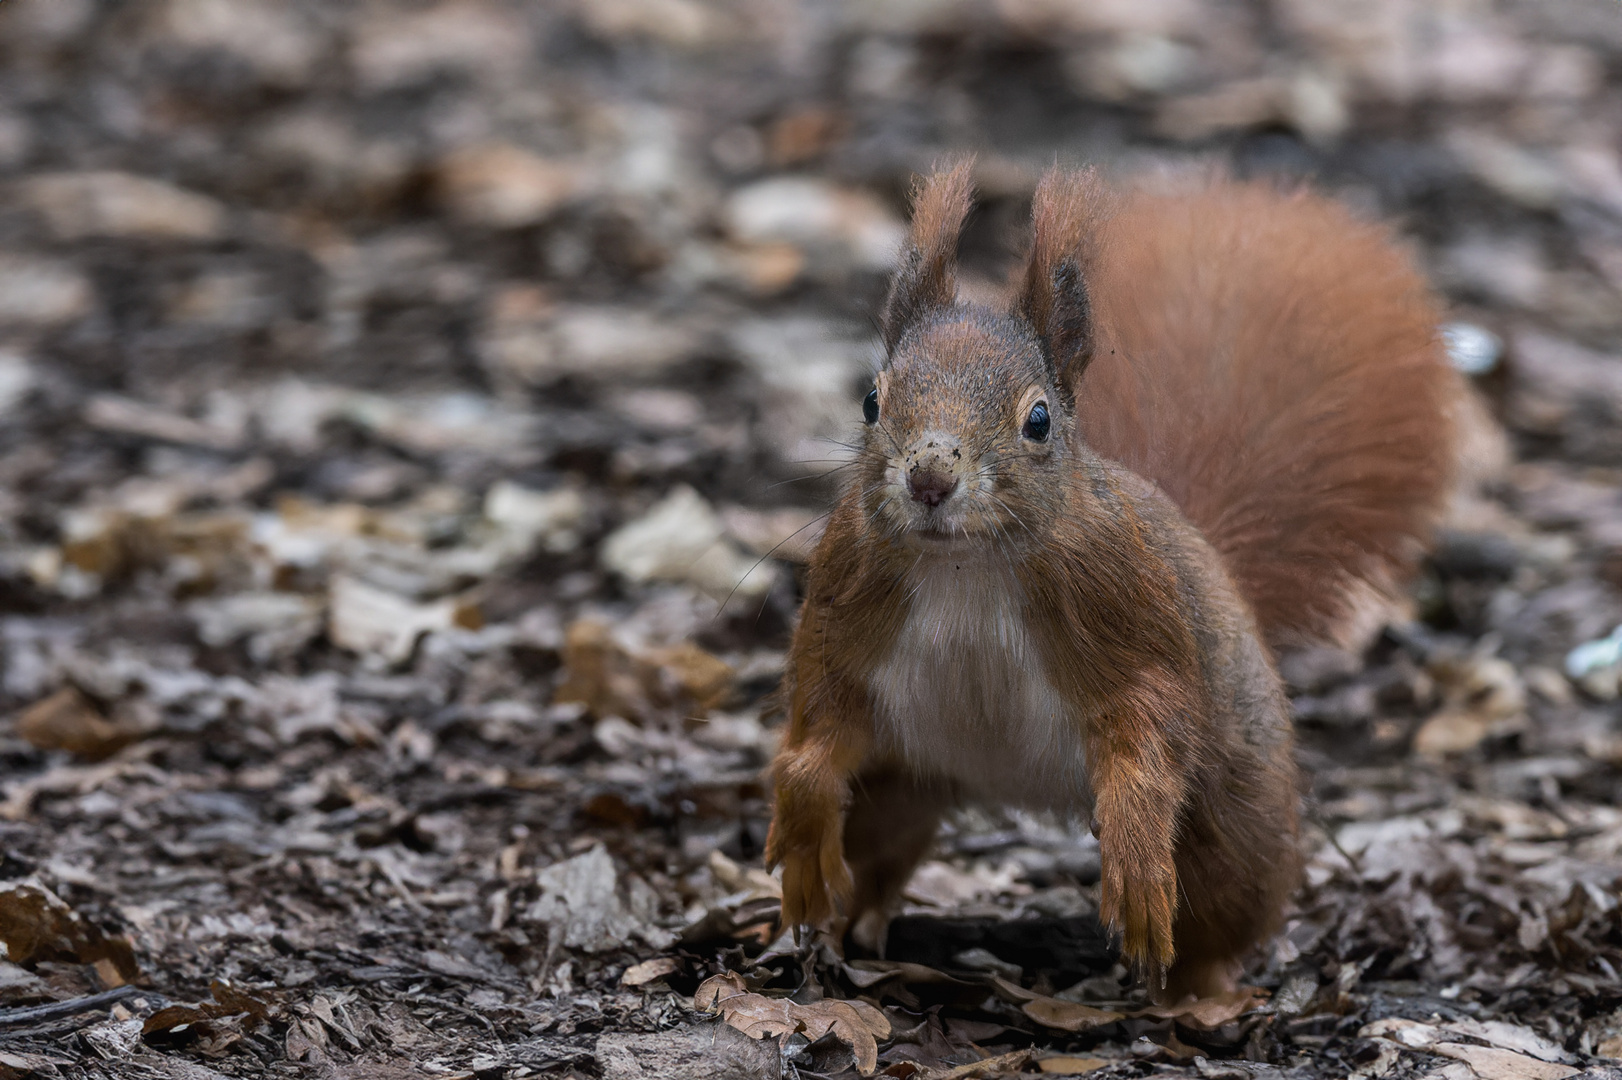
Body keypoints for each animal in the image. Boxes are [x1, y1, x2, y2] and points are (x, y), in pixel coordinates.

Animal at [765, 162, 1466, 998]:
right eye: (871, 402)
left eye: (1038, 421)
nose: (930, 478)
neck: (966, 565)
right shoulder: (846, 604)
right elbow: (819, 721)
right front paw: (801, 818)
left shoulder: (1129, 615)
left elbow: (1149, 732)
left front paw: (1132, 860)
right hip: (899, 780)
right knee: (876, 853)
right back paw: (839, 925)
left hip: (1234, 826)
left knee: (1223, 911)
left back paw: (1196, 993)